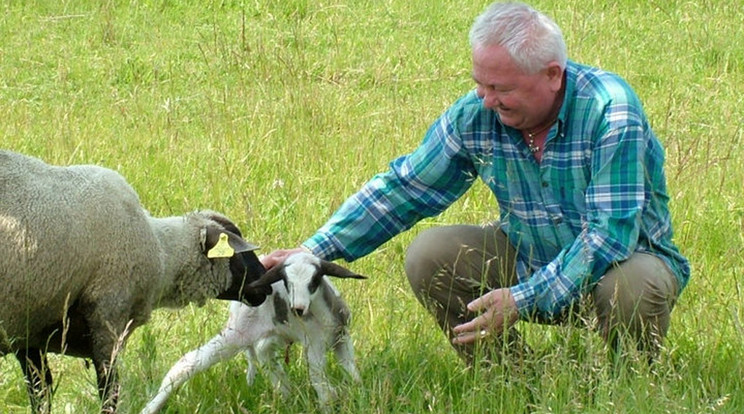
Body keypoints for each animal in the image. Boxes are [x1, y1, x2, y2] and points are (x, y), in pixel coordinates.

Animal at [0, 150, 272, 414]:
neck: (163, 253)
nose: (267, 284)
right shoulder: (108, 316)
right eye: (239, 254)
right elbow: (109, 391)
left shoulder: (29, 332)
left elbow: (40, 393)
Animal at [140, 251, 366, 412]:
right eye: (287, 281)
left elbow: (352, 373)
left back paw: (285, 393)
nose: (298, 309)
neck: (322, 316)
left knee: (263, 353)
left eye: (315, 280)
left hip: (271, 333)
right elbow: (321, 384)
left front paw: (358, 391)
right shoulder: (314, 345)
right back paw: (150, 408)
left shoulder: (342, 338)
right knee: (186, 363)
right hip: (238, 332)